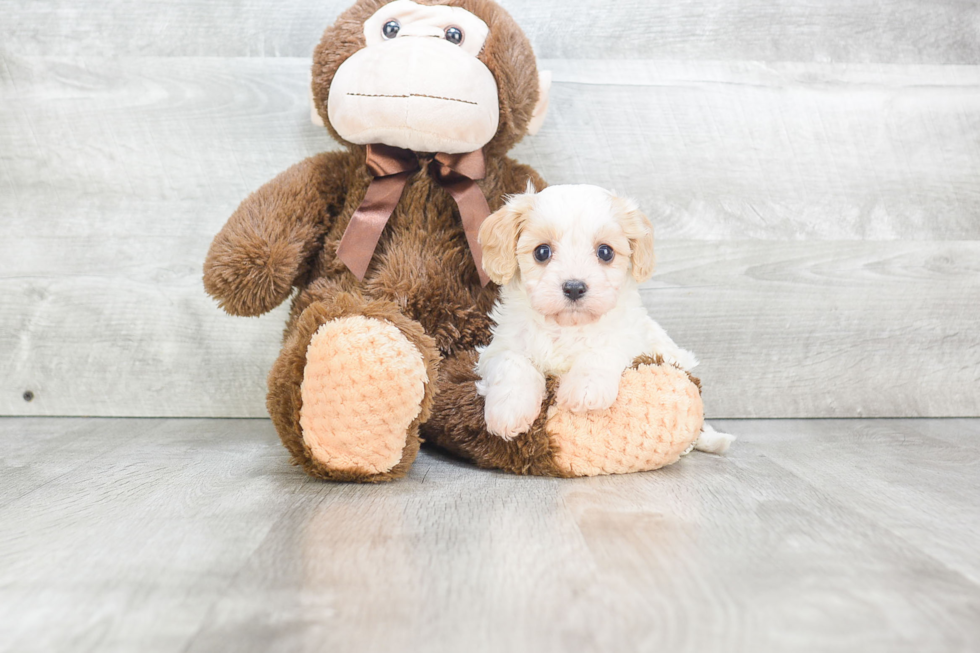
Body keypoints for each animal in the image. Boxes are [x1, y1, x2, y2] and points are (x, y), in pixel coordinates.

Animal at [470, 183, 732, 454]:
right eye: (542, 252)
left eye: (605, 252)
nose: (574, 287)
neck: (567, 327)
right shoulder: (500, 346)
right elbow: (512, 362)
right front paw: (508, 410)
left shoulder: (631, 340)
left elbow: (601, 351)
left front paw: (585, 389)